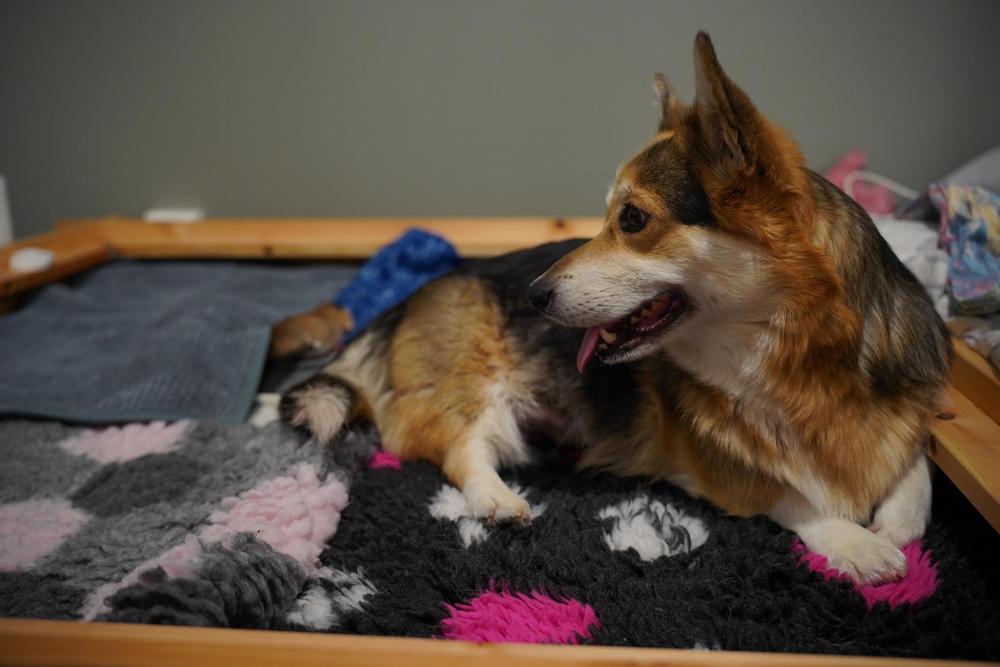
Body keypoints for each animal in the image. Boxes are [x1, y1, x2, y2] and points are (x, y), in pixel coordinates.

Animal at [281, 33, 951, 584]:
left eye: (631, 219)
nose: (534, 295)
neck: (792, 356)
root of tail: (404, 303)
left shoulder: (909, 406)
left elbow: (915, 460)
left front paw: (897, 519)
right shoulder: (717, 467)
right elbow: (790, 493)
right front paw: (857, 544)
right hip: (476, 386)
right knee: (459, 447)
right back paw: (497, 501)